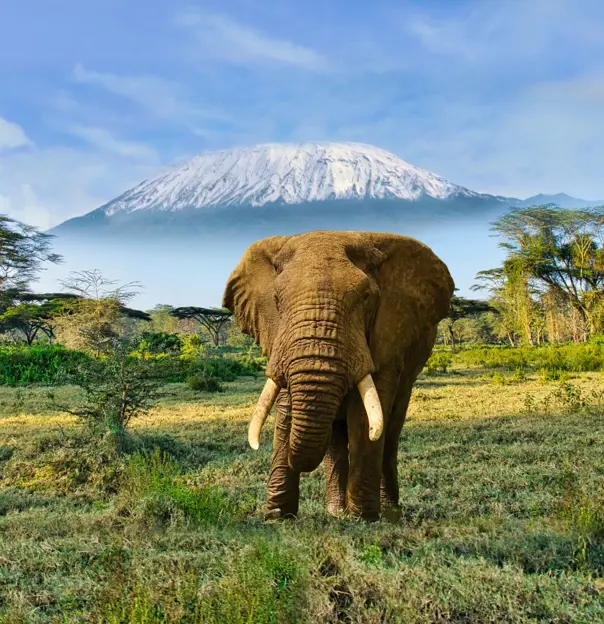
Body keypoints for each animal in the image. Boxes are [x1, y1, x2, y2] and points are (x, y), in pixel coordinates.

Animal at [222, 232, 452, 520]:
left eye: (366, 298)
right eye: (276, 299)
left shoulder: (388, 334)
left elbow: (365, 416)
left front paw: (363, 518)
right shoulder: (278, 339)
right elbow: (286, 408)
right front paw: (276, 517)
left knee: (391, 431)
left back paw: (388, 512)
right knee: (336, 442)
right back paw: (335, 512)